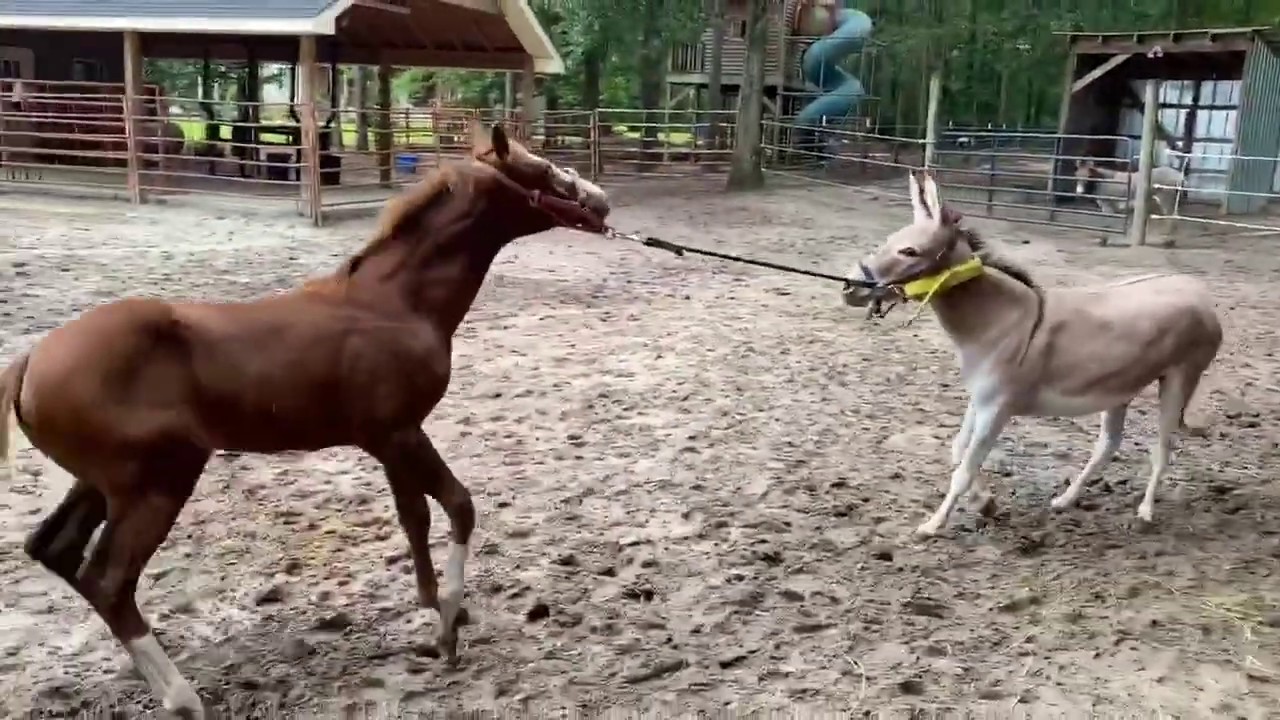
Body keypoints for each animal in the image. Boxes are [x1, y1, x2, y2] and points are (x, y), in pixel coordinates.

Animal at [0, 120, 610, 718]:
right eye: (539, 169)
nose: (600, 202)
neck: (392, 302)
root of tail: (29, 360)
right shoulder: (400, 433)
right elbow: (459, 507)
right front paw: (447, 632)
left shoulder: (388, 439)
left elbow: (414, 517)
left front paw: (434, 607)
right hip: (158, 483)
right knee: (108, 581)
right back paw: (182, 697)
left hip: (100, 485)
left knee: (54, 550)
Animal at [842, 170, 1222, 537]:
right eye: (888, 241)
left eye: (909, 251)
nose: (849, 286)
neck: (998, 320)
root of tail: (1198, 292)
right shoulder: (979, 401)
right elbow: (957, 450)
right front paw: (985, 504)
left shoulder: (996, 408)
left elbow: (964, 469)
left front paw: (933, 526)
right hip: (1120, 387)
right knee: (1108, 445)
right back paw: (1066, 500)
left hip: (1179, 378)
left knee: (1162, 449)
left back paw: (1144, 514)